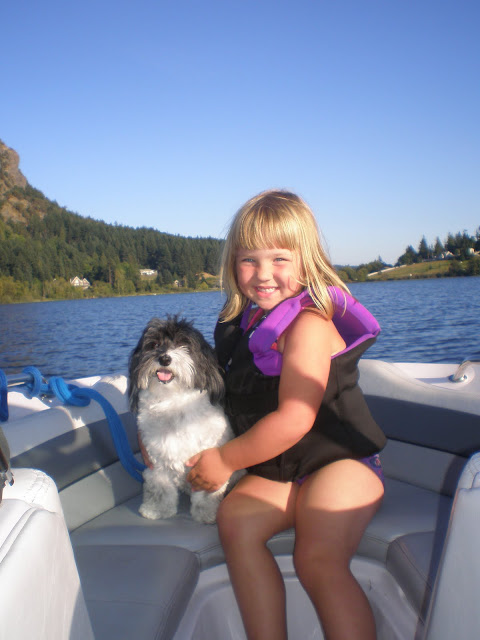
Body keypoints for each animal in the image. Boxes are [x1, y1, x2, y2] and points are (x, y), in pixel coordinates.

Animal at [128, 316, 242, 524]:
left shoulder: (205, 465)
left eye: (184, 345)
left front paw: (205, 514)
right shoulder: (157, 460)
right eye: (154, 344)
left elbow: (205, 494)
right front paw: (156, 510)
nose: (164, 358)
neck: (172, 401)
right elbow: (160, 488)